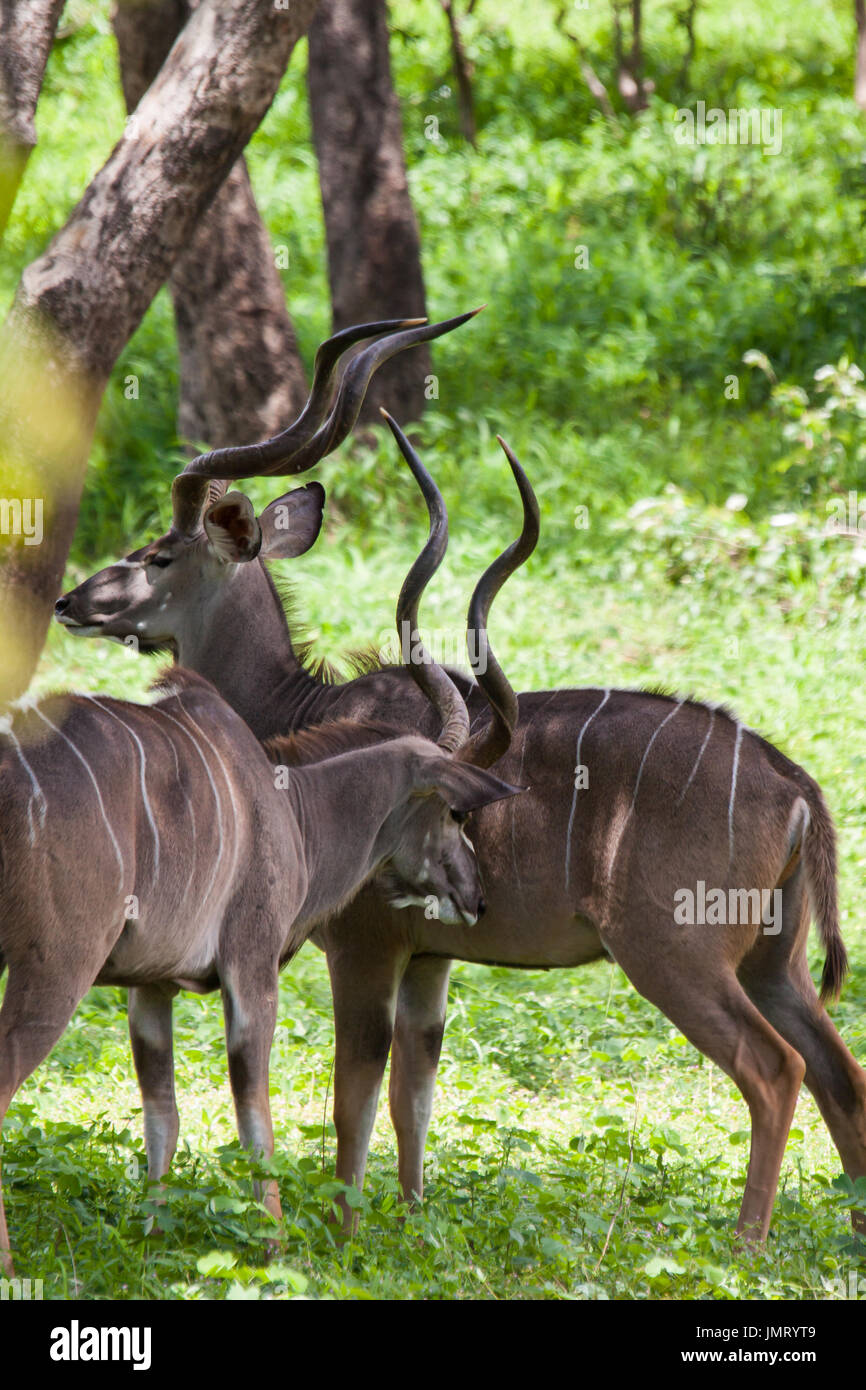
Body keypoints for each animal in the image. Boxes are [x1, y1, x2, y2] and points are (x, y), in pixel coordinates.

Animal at [1, 439, 528, 1273]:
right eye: (452, 807)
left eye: (158, 555)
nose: (477, 895)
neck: (288, 794)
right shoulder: (253, 970)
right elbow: (261, 1115)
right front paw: (277, 1247)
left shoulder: (150, 986)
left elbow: (165, 1115)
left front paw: (156, 1241)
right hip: (53, 966)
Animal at [59, 315, 866, 1239]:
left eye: (157, 555)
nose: (73, 603)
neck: (298, 714)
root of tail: (794, 785)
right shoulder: (432, 958)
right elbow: (414, 1097)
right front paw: (412, 1223)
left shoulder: (368, 946)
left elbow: (355, 1099)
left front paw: (346, 1236)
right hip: (775, 961)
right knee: (840, 1071)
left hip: (676, 954)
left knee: (774, 1071)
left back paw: (744, 1244)